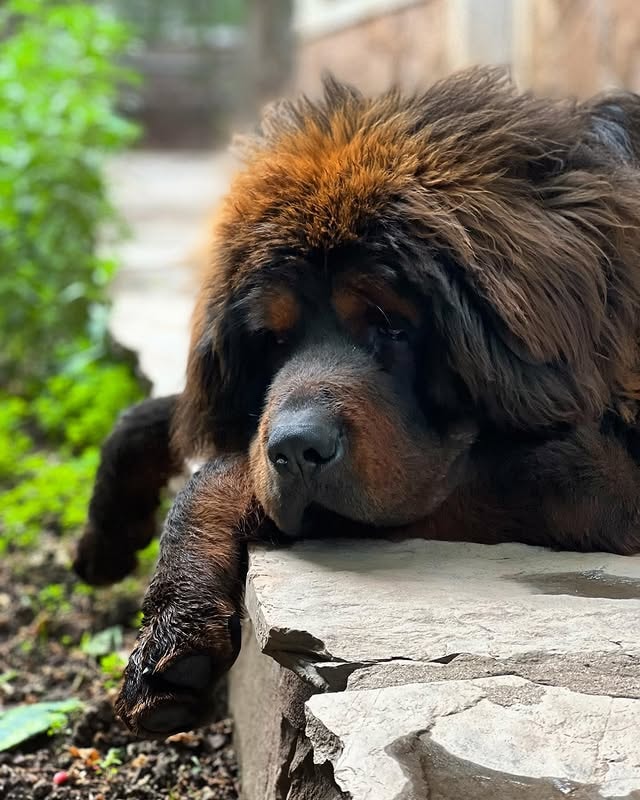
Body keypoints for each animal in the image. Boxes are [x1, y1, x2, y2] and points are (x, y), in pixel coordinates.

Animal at [77, 70, 640, 736]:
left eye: (391, 325)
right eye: (272, 340)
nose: (295, 449)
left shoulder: (600, 479)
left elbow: (220, 469)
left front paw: (172, 637)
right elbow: (162, 417)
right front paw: (106, 537)